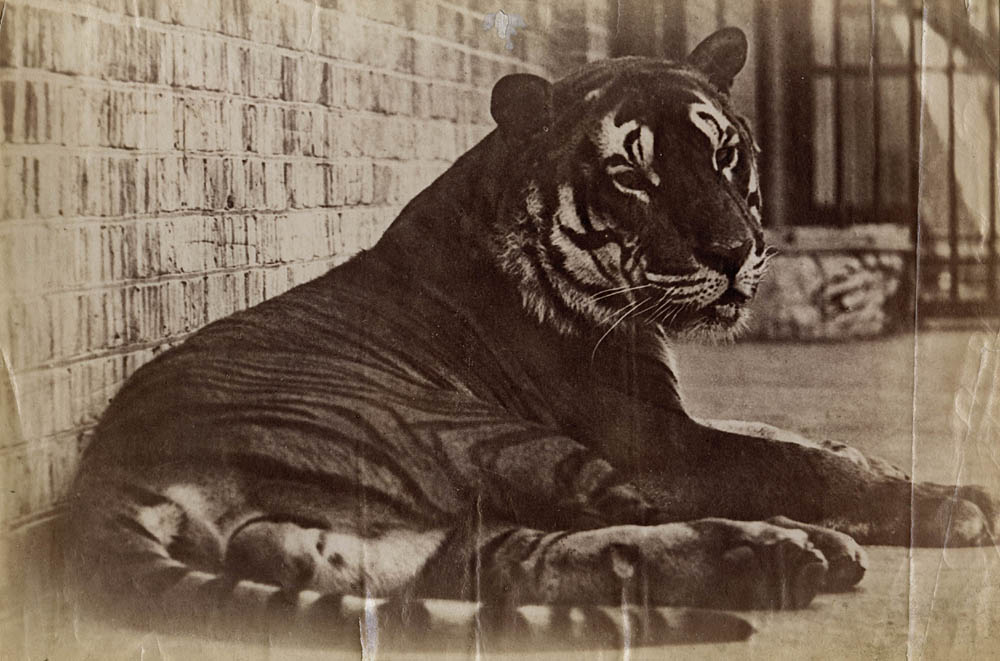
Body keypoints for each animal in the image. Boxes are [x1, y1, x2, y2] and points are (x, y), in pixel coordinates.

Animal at [68, 28, 997, 650]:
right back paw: (793, 548)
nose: (735, 252)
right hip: (489, 435)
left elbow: (797, 436)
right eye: (632, 173)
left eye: (725, 153)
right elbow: (791, 459)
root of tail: (107, 475)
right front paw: (948, 503)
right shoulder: (657, 437)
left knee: (524, 560)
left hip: (386, 539)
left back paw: (777, 557)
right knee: (621, 511)